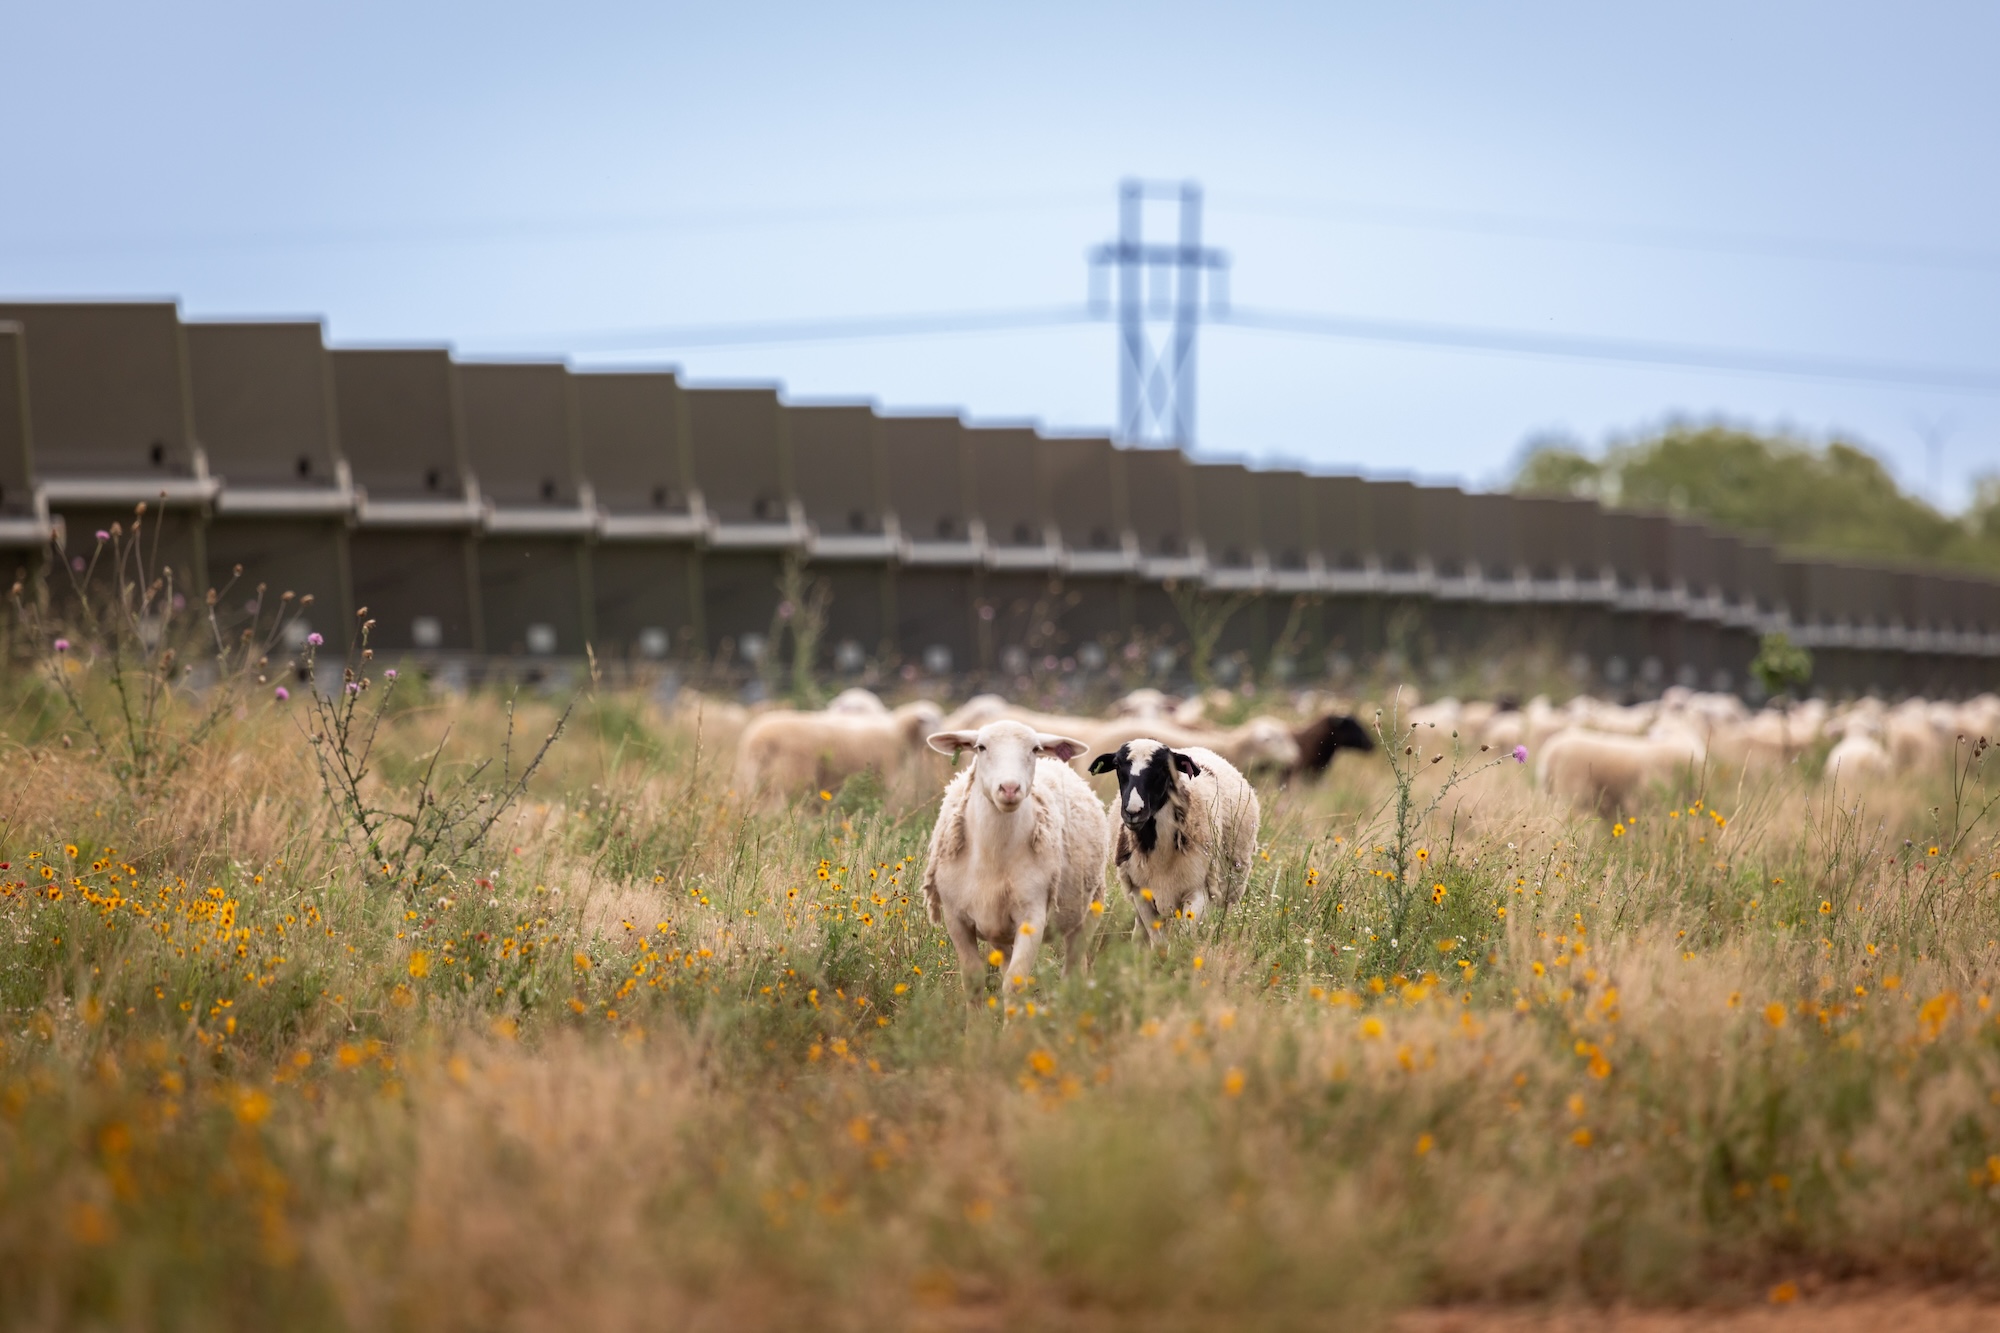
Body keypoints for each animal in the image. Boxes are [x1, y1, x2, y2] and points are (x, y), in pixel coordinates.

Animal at [736, 700, 944, 804]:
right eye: (930, 720)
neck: (898, 734)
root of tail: (760, 739)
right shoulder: (882, 777)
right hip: (791, 777)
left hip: (755, 778)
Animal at [920, 720, 1112, 992]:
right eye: (980, 747)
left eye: (1035, 749)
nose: (1009, 788)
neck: (992, 858)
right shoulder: (955, 917)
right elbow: (974, 979)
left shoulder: (1032, 916)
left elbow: (1015, 980)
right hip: (998, 928)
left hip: (1089, 908)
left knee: (1073, 966)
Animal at [1088, 736, 1256, 944]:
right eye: (1117, 765)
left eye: (1164, 768)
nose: (1133, 811)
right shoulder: (1141, 894)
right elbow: (1159, 942)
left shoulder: (1198, 892)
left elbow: (1183, 940)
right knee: (1140, 931)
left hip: (1231, 890)